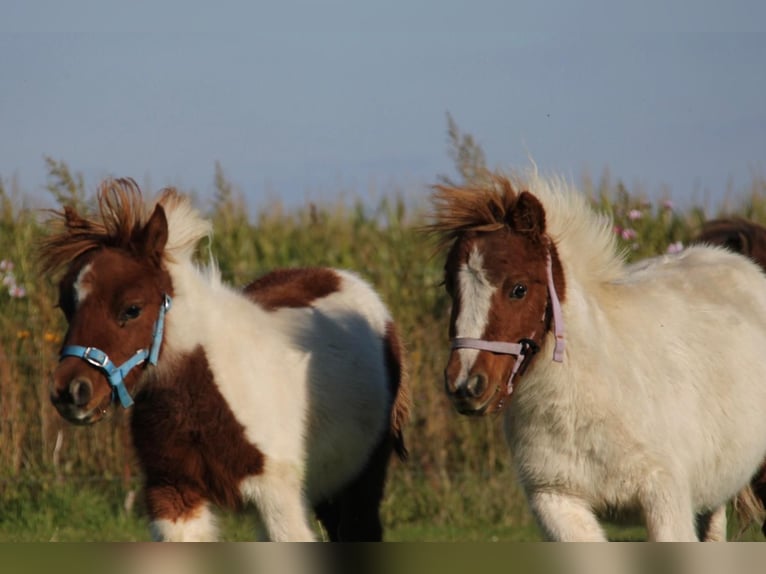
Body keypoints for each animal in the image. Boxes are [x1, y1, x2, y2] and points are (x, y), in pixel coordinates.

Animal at [40, 181, 414, 544]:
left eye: (131, 309)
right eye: (65, 305)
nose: (70, 391)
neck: (205, 388)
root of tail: (345, 279)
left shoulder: (277, 496)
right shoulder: (173, 492)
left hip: (362, 476)